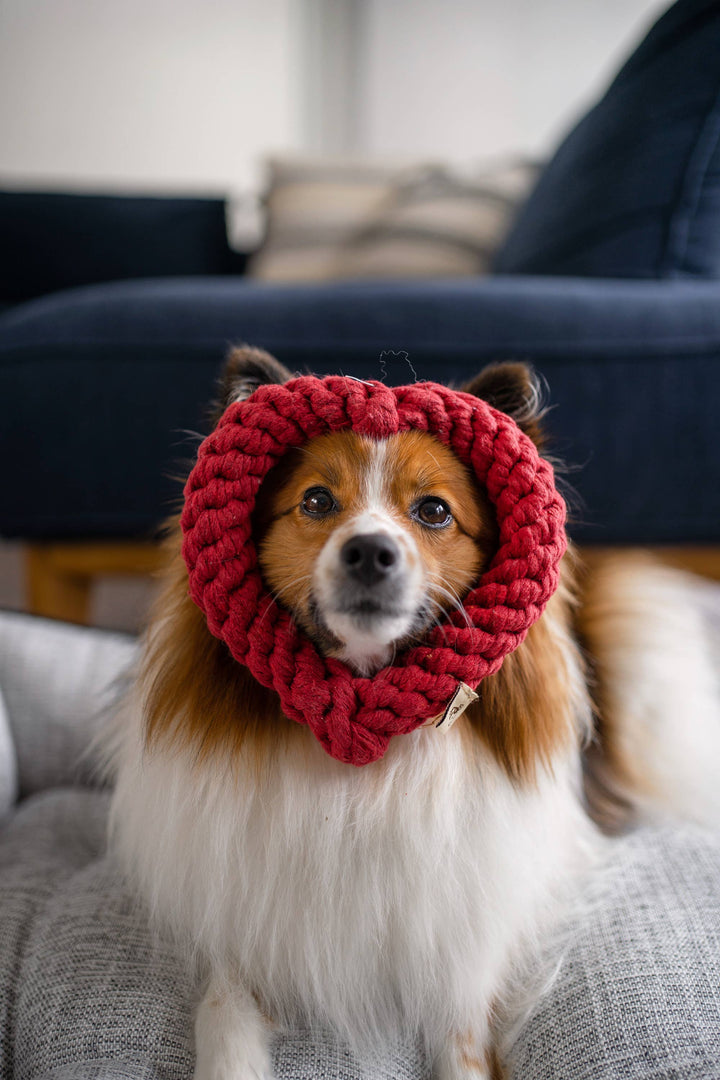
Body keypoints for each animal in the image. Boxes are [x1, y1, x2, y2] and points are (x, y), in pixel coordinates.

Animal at [106, 345, 720, 1080]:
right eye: (316, 501)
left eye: (432, 512)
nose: (370, 551)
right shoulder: (246, 919)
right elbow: (223, 1011)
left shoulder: (464, 955)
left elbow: (464, 1042)